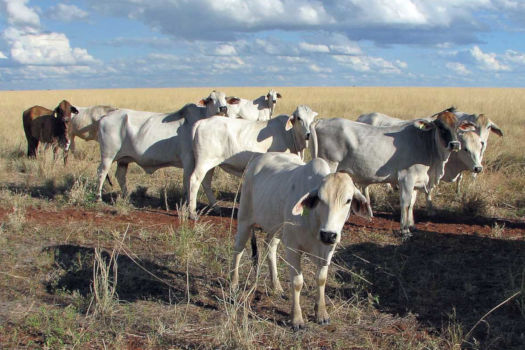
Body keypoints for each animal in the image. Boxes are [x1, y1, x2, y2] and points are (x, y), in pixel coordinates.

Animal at [95, 91, 229, 202]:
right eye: (210, 99)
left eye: (225, 98)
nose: (223, 108)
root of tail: (105, 117)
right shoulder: (189, 159)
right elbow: (187, 181)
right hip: (108, 155)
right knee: (102, 172)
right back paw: (98, 198)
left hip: (123, 159)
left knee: (120, 176)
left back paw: (126, 196)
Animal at [187, 104, 316, 219]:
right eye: (299, 118)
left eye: (312, 119)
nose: (308, 134)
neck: (290, 135)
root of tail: (201, 122)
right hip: (203, 162)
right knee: (194, 180)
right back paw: (192, 213)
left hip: (211, 164)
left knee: (206, 183)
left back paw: (216, 207)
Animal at [229, 152, 368, 330]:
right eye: (320, 199)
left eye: (348, 200)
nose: (328, 235)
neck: (315, 221)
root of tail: (258, 158)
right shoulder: (293, 249)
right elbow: (297, 282)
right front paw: (296, 319)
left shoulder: (328, 250)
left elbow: (321, 279)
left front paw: (321, 313)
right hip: (245, 219)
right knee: (238, 249)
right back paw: (233, 285)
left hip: (277, 228)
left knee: (270, 247)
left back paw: (276, 286)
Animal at [308, 111, 474, 238]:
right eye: (440, 126)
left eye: (457, 126)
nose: (455, 144)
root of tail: (321, 121)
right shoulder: (406, 179)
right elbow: (405, 203)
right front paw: (405, 230)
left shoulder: (415, 182)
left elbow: (412, 203)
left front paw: (412, 225)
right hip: (330, 165)